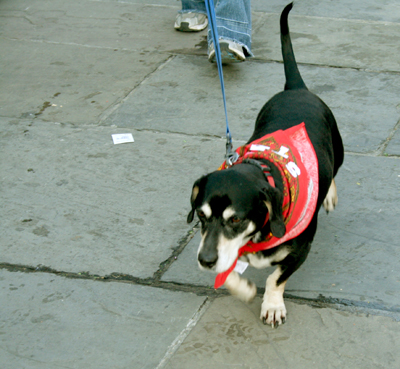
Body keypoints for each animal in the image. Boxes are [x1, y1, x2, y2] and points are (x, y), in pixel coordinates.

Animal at [188, 2, 344, 324]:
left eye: (235, 219)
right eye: (201, 216)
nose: (205, 260)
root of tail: (296, 88)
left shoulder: (301, 249)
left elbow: (276, 277)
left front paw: (272, 305)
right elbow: (229, 270)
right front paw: (243, 287)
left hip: (338, 148)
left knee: (334, 171)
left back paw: (329, 194)